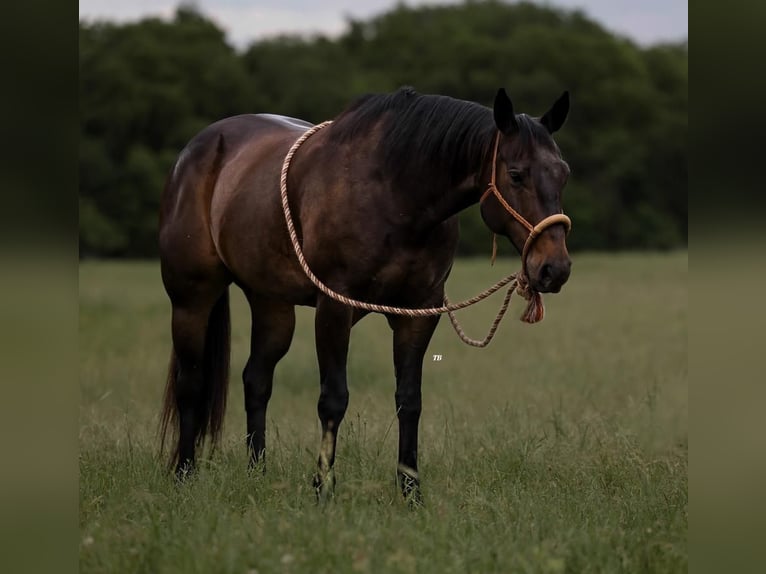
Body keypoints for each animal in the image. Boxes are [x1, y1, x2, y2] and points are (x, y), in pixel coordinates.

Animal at [159, 85, 572, 504]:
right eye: (516, 174)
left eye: (563, 173)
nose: (554, 268)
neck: (395, 194)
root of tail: (197, 150)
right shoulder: (334, 307)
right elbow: (333, 399)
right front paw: (323, 490)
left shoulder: (419, 312)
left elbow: (409, 400)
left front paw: (410, 492)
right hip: (192, 298)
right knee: (191, 383)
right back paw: (183, 474)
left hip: (271, 305)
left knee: (256, 380)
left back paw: (257, 475)